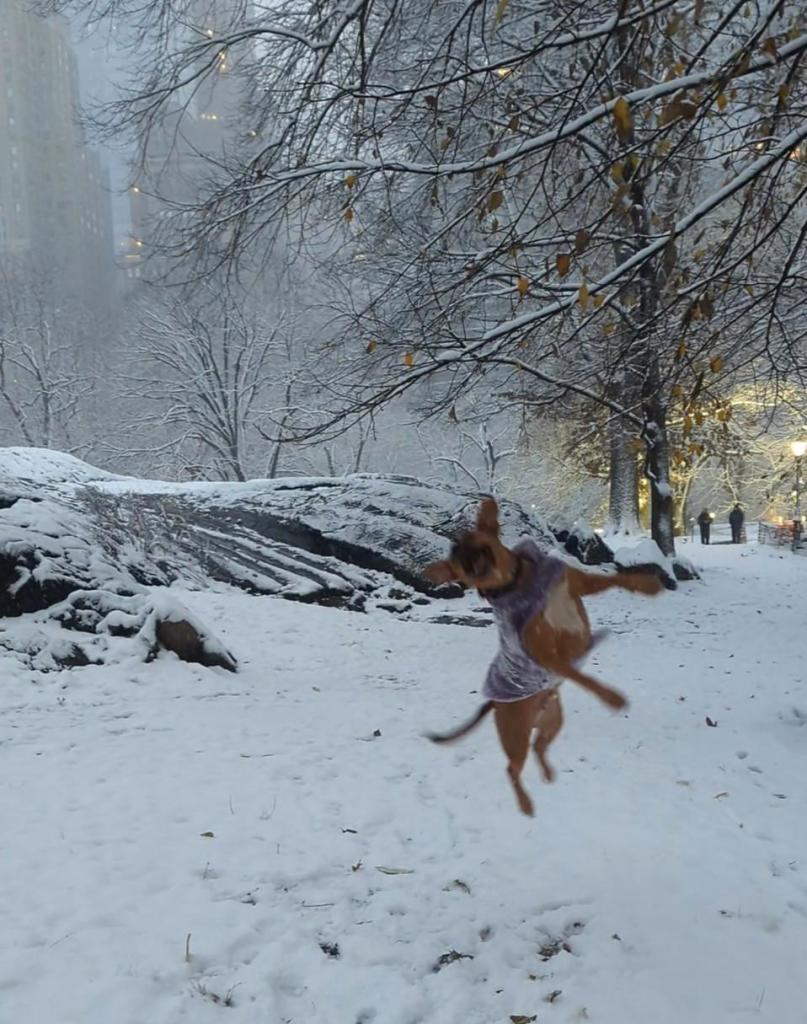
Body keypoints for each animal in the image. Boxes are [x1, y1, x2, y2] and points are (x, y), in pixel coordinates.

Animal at [421, 497, 663, 815]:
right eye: (460, 566)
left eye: (479, 544)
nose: (473, 564)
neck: (517, 584)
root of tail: (494, 703)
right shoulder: (546, 655)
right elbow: (581, 677)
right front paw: (612, 697)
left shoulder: (579, 583)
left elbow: (618, 580)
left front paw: (648, 585)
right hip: (515, 735)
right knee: (512, 768)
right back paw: (525, 804)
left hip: (552, 722)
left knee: (539, 748)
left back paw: (547, 773)